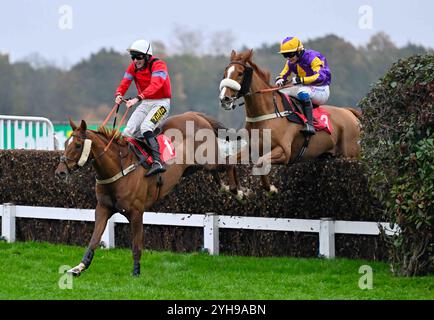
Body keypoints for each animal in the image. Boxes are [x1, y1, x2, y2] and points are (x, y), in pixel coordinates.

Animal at [54, 111, 241, 276]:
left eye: (78, 145)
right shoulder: (103, 208)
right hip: (196, 167)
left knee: (230, 163)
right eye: (65, 143)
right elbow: (93, 240)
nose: (60, 172)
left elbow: (136, 245)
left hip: (208, 159)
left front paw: (136, 272)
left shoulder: (136, 212)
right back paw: (227, 188)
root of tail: (196, 115)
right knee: (217, 173)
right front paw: (79, 267)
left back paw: (239, 192)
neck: (118, 169)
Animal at [219, 49, 362, 194]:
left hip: (351, 153)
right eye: (225, 72)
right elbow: (229, 161)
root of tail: (349, 112)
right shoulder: (252, 148)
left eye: (240, 73)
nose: (225, 99)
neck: (267, 112)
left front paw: (270, 188)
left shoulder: (284, 151)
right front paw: (236, 191)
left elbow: (261, 162)